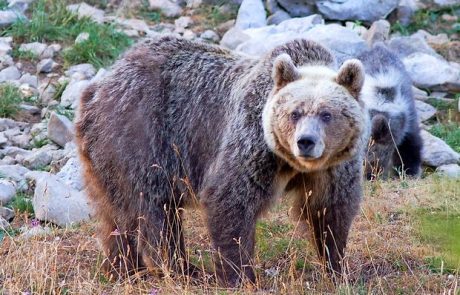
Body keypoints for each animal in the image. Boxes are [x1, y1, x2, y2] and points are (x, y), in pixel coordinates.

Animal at [76, 35, 370, 288]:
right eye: (294, 113)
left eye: (326, 114)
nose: (305, 141)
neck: (290, 163)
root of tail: (99, 86)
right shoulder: (251, 144)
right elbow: (231, 201)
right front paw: (240, 276)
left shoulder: (333, 169)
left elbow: (330, 210)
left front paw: (337, 267)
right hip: (141, 137)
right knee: (153, 210)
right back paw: (183, 269)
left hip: (108, 158)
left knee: (116, 216)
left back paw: (124, 269)